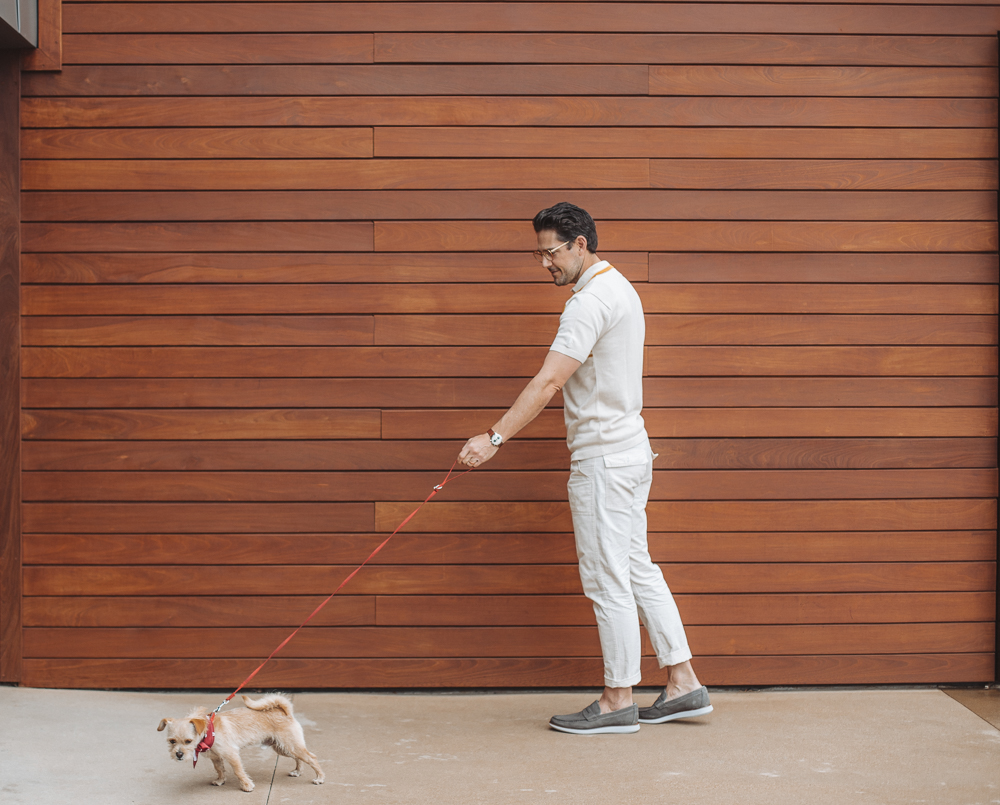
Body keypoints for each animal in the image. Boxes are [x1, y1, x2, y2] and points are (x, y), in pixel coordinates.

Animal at [157, 692, 324, 792]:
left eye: (188, 741)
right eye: (172, 741)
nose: (178, 754)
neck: (207, 732)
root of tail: (284, 711)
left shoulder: (232, 754)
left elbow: (238, 771)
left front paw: (247, 785)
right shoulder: (216, 757)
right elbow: (219, 769)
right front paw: (220, 780)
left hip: (290, 745)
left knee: (312, 758)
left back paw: (320, 778)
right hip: (284, 748)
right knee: (299, 758)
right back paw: (298, 771)